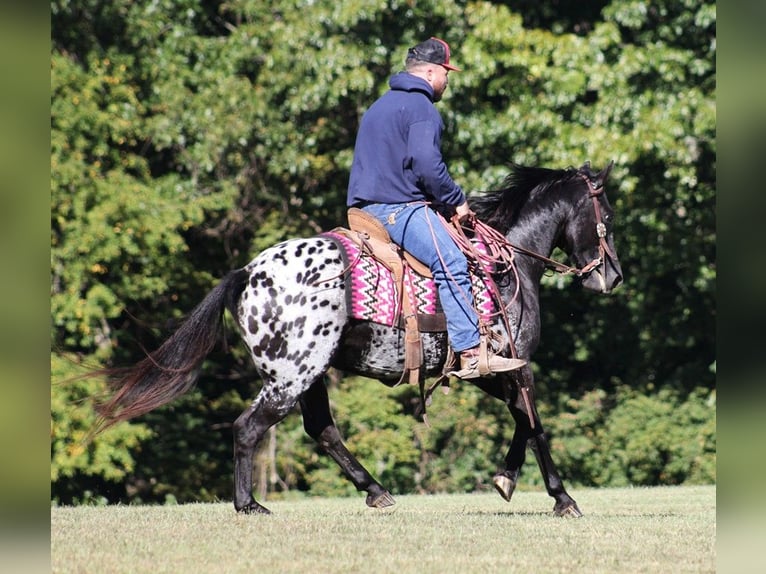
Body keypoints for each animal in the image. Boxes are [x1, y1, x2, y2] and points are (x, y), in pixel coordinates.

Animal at [96, 161, 624, 516]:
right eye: (609, 215)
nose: (612, 277)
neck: (503, 267)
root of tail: (247, 274)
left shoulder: (491, 373)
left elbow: (523, 420)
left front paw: (507, 479)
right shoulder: (511, 366)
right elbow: (533, 422)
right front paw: (559, 496)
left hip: (309, 377)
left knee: (321, 431)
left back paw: (375, 490)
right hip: (291, 378)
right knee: (248, 427)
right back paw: (250, 505)